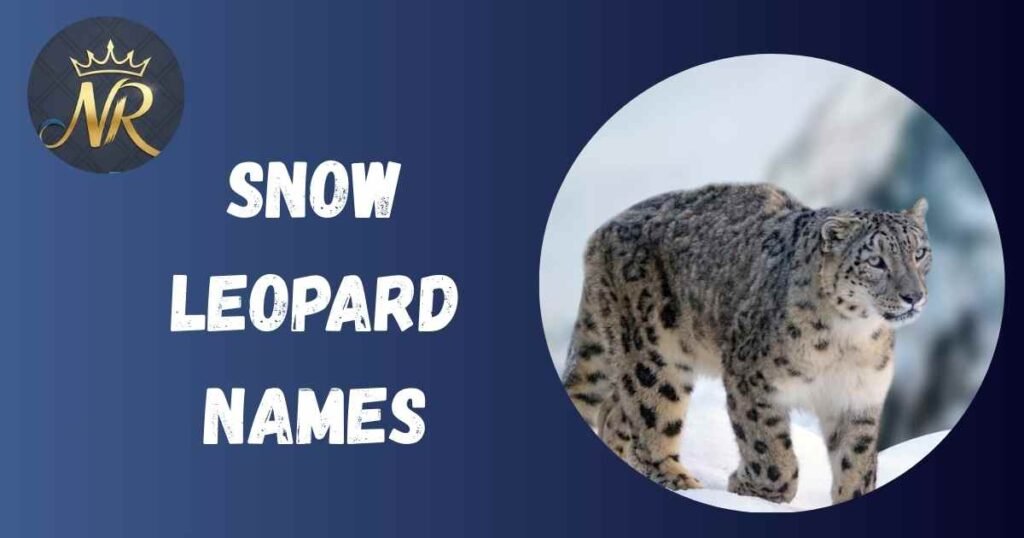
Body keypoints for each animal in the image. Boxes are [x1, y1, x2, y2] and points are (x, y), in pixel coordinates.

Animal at [562, 183, 930, 505]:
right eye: (876, 261)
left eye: (920, 253)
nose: (913, 296)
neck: (850, 339)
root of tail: (604, 230)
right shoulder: (752, 379)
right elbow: (770, 450)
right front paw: (753, 490)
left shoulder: (857, 397)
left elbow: (856, 464)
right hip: (655, 355)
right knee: (650, 420)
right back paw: (684, 483)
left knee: (614, 412)